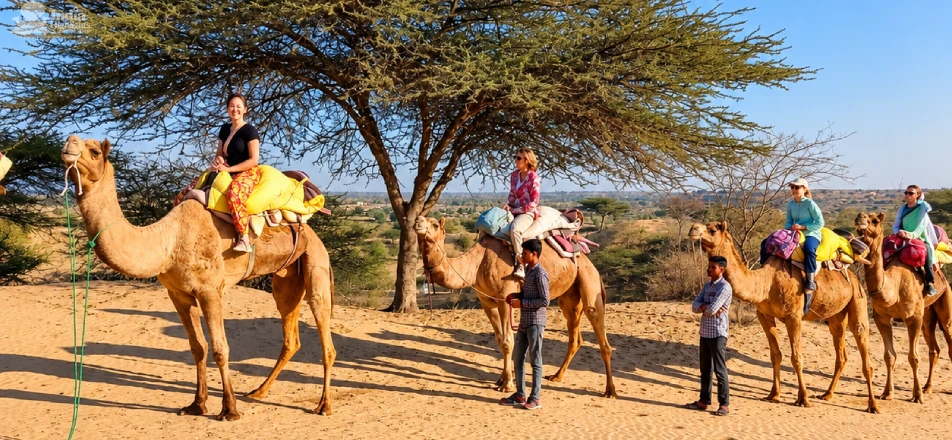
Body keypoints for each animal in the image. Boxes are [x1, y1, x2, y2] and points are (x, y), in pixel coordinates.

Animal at [61, 135, 336, 420]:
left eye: (94, 151)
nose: (68, 144)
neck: (168, 243)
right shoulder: (178, 294)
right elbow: (197, 347)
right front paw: (197, 404)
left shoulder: (210, 291)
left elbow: (220, 348)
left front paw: (229, 410)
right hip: (286, 279)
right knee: (290, 335)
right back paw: (258, 392)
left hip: (317, 264)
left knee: (325, 336)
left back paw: (324, 405)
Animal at [414, 217, 617, 398]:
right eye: (422, 218)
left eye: (434, 224)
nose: (417, 221)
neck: (479, 263)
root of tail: (586, 257)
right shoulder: (487, 302)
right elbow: (499, 340)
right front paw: (501, 379)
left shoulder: (505, 298)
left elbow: (507, 342)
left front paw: (507, 385)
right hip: (569, 296)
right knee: (574, 334)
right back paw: (557, 376)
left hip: (589, 281)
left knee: (599, 329)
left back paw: (610, 391)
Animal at [688, 221, 878, 413]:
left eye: (712, 230)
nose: (693, 229)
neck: (767, 283)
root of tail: (853, 276)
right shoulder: (764, 315)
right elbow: (775, 355)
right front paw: (773, 395)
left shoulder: (793, 316)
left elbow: (796, 358)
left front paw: (803, 399)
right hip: (835, 316)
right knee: (841, 352)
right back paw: (827, 394)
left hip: (858, 299)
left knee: (863, 344)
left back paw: (873, 405)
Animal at [854, 212, 952, 402]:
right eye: (862, 216)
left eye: (874, 220)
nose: (860, 217)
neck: (894, 286)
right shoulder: (882, 318)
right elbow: (889, 356)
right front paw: (887, 393)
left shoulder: (912, 318)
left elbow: (913, 357)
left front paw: (917, 395)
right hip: (927, 316)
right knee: (934, 349)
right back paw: (928, 387)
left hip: (945, 302)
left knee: (947, 333)